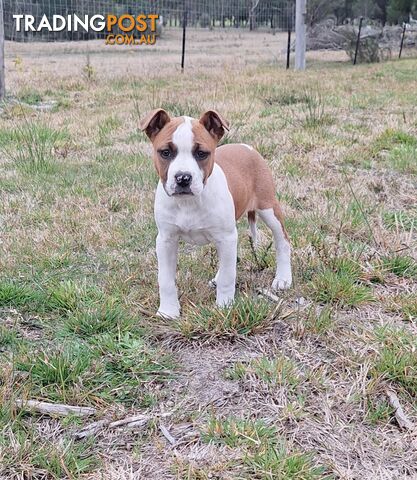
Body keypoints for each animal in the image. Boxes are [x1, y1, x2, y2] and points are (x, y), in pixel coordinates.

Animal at [139, 109, 290, 318]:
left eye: (201, 154)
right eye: (165, 153)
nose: (183, 178)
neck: (188, 202)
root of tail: (246, 147)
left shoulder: (226, 236)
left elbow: (228, 276)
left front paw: (224, 307)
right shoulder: (166, 240)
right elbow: (166, 279)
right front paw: (168, 311)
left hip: (268, 207)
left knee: (283, 240)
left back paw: (283, 278)